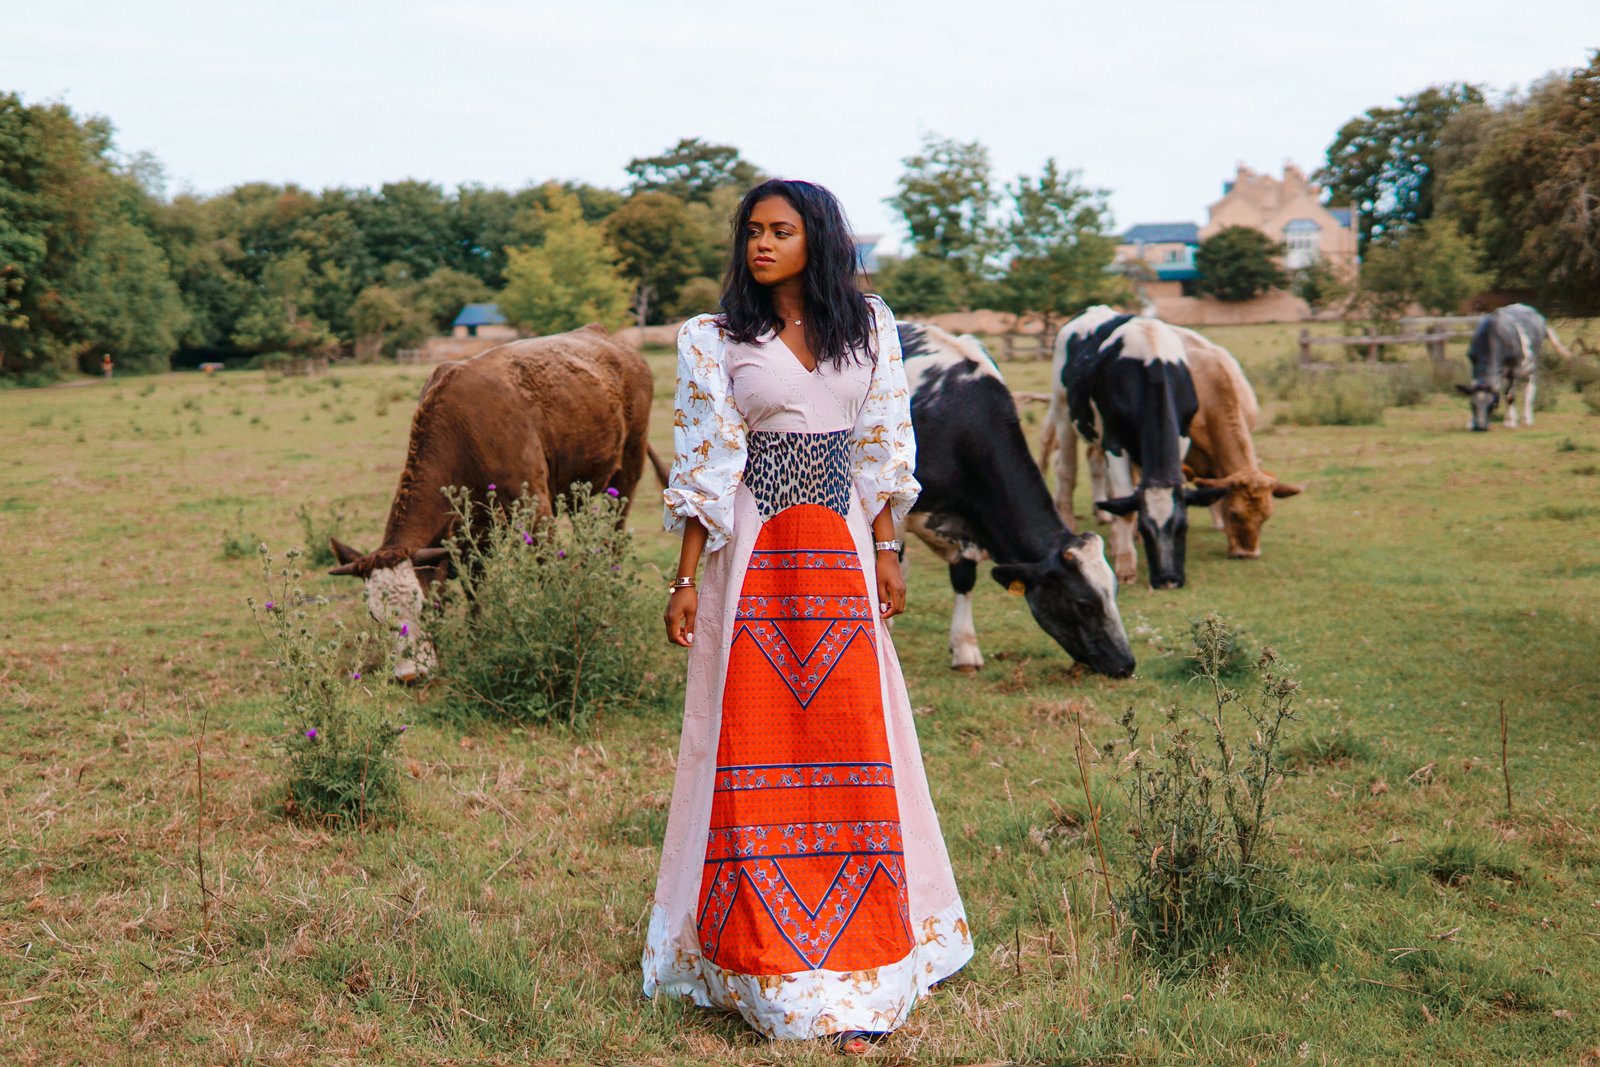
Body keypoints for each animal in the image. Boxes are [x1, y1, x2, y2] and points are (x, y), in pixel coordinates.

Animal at [902, 321, 1139, 681]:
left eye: (1114, 592)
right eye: (1084, 604)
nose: (1126, 664)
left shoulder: (971, 517)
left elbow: (964, 577)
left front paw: (965, 649)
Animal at [1036, 307, 1222, 591]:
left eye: (1183, 527)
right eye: (1146, 528)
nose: (1168, 580)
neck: (1153, 361)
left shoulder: (1183, 435)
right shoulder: (1115, 442)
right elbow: (1125, 505)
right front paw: (1126, 564)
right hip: (1062, 407)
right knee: (1066, 469)